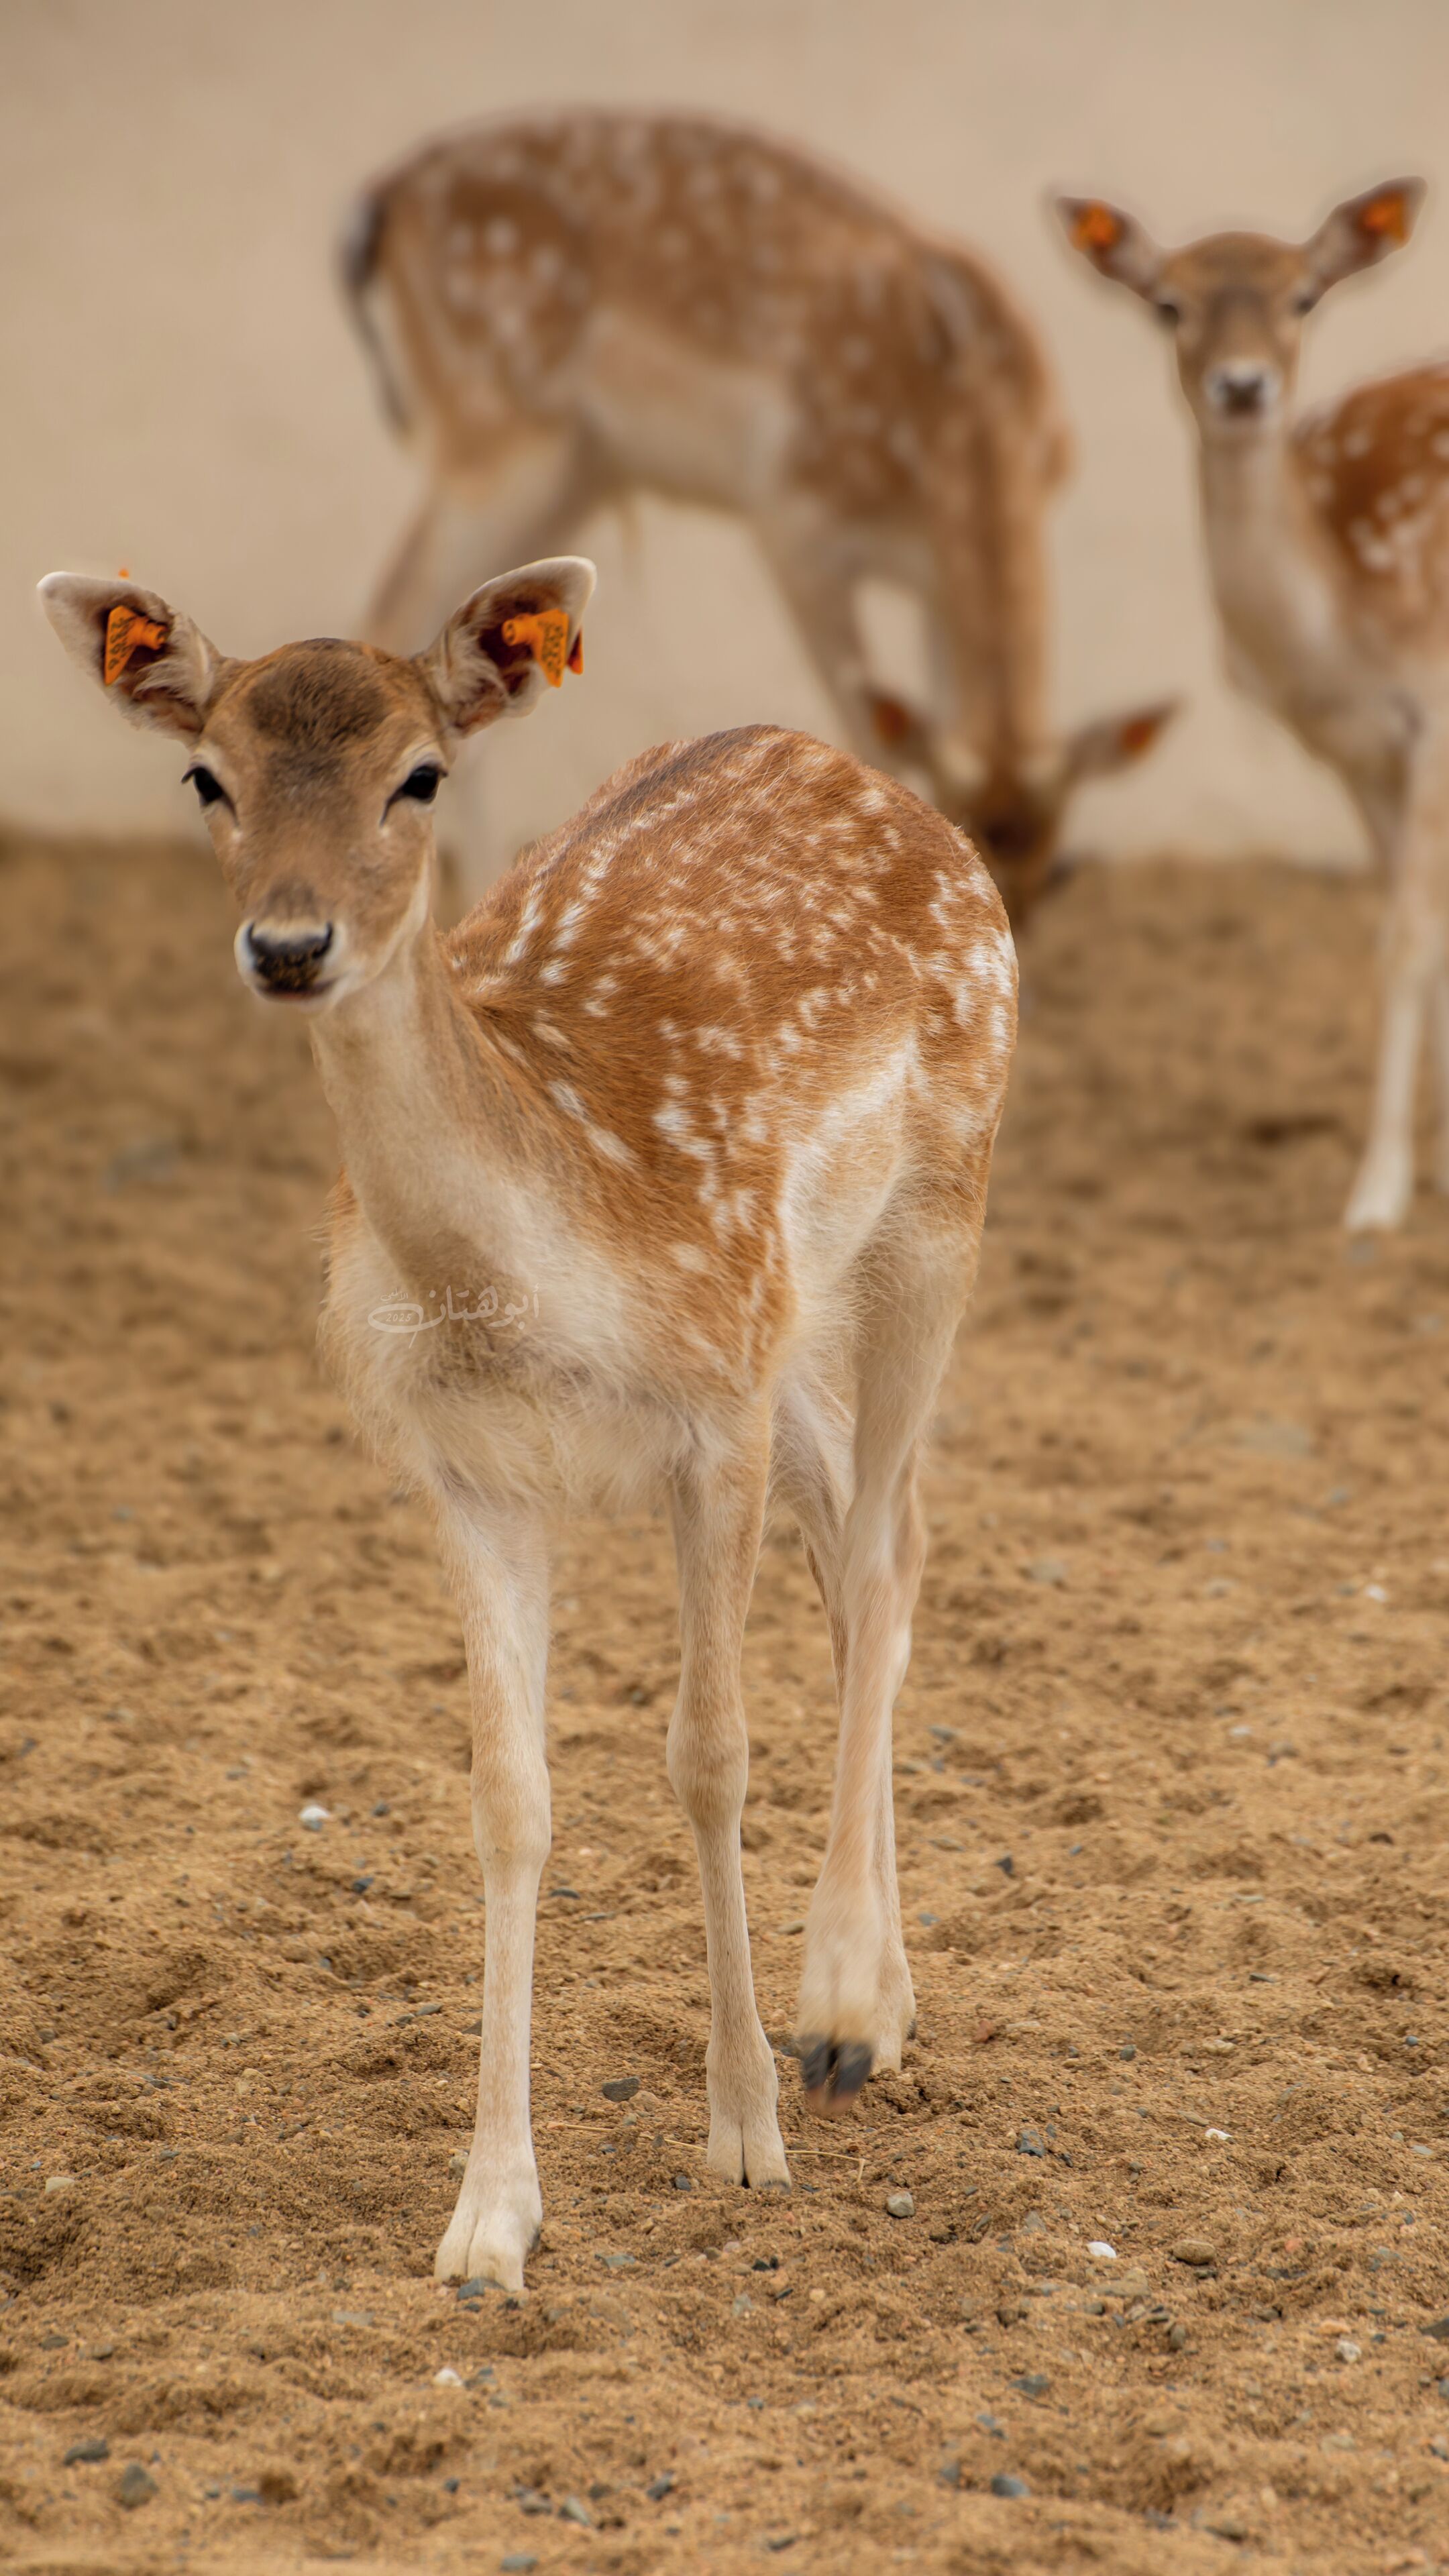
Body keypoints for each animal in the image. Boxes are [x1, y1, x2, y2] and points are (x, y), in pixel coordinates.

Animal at [38, 552, 1016, 2293]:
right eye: (206, 776)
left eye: (420, 775)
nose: (290, 943)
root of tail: (881, 780)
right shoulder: (468, 1465)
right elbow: (509, 1799)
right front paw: (489, 2218)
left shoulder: (710, 1412)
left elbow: (707, 1752)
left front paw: (746, 2129)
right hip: (800, 1319)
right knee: (869, 1546)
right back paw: (886, 2001)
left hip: (932, 1222)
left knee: (888, 1554)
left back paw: (842, 2007)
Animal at [342, 107, 1175, 930]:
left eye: (1061, 872)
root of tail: (380, 203)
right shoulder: (795, 519)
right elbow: (870, 730)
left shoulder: (934, 582)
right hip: (495, 433)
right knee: (396, 605)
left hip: (576, 471)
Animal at [1057, 177, 1449, 1231]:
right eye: (1168, 306)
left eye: (1304, 298)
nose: (1242, 387)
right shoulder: (1358, 749)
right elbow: (1413, 931)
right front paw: (1415, 1167)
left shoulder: (1434, 716)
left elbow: (1407, 938)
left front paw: (1375, 1199)